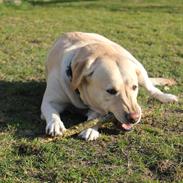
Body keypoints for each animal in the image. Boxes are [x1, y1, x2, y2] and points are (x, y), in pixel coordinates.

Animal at [40, 31, 178, 140]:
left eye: (134, 87)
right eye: (111, 91)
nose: (135, 118)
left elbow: (96, 117)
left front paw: (91, 129)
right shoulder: (50, 100)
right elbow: (52, 112)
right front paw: (56, 124)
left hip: (139, 67)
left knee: (151, 88)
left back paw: (166, 97)